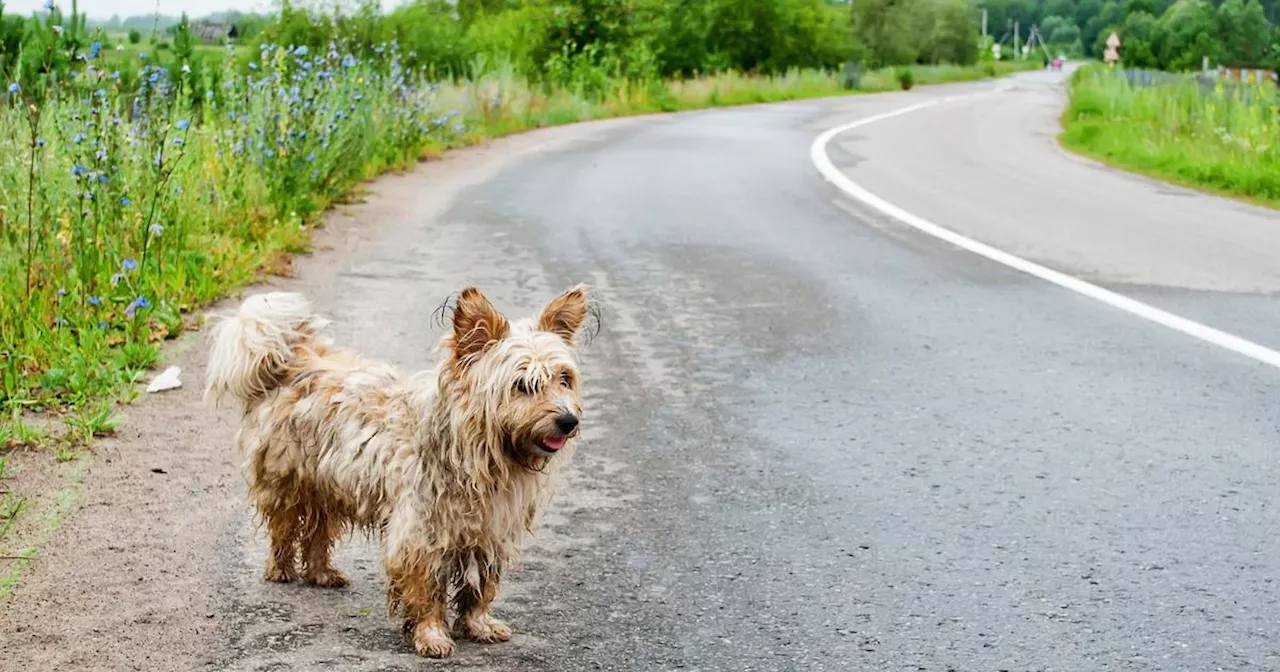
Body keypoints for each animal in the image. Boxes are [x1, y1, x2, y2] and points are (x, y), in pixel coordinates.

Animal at [206, 282, 593, 655]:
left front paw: (478, 624)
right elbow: (426, 590)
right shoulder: (420, 533)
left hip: (327, 484)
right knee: (284, 529)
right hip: (288, 481)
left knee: (317, 532)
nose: (568, 421)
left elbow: (481, 584)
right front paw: (431, 634)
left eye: (564, 378)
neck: (479, 453)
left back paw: (321, 572)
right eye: (522, 385)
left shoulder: (489, 531)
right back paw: (281, 568)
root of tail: (292, 360)